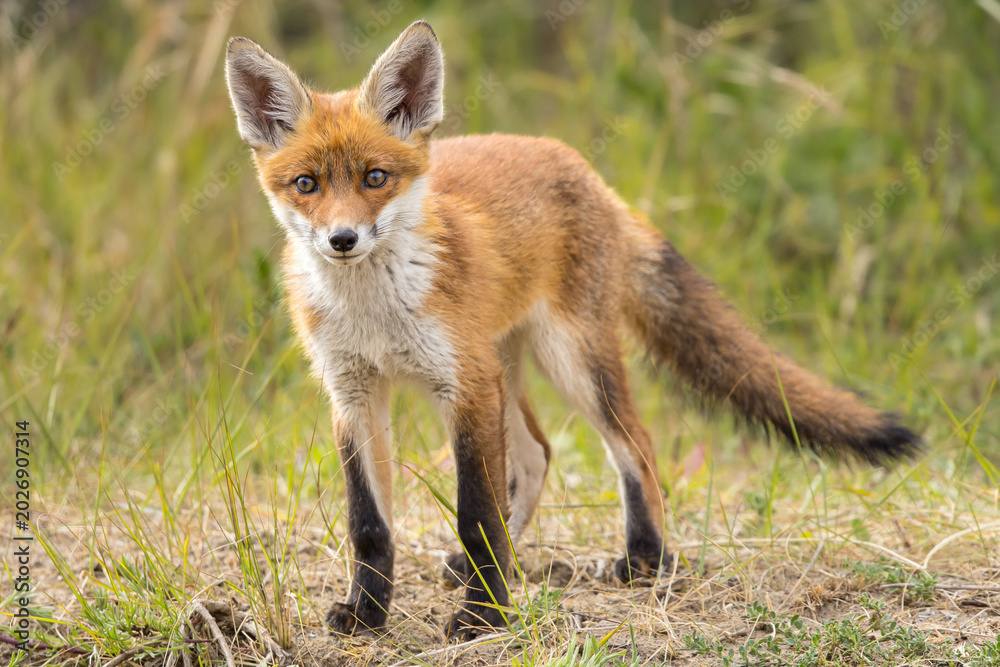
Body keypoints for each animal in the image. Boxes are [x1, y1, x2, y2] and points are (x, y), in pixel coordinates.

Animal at [225, 21, 920, 639]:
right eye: (307, 184)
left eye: (375, 178)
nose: (342, 240)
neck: (373, 311)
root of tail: (582, 168)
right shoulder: (353, 392)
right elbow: (370, 524)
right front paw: (367, 614)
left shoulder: (463, 384)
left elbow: (477, 514)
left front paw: (483, 618)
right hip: (505, 370)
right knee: (537, 454)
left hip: (569, 361)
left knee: (635, 446)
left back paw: (644, 559)